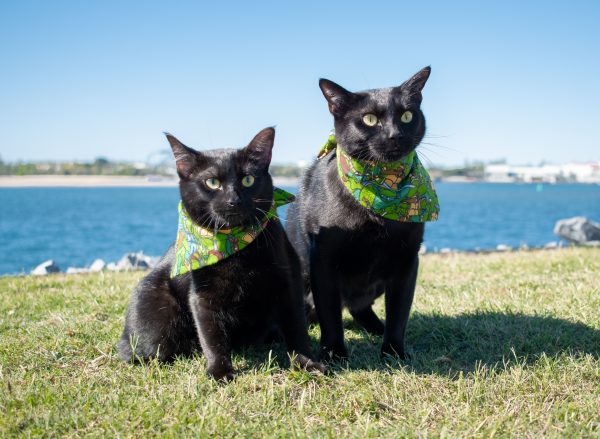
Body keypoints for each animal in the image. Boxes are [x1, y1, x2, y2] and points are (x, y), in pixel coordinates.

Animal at [118, 128, 324, 382]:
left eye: (248, 179)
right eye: (212, 182)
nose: (233, 200)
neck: (236, 247)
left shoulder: (289, 281)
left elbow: (296, 326)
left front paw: (306, 364)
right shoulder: (202, 297)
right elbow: (212, 335)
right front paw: (220, 371)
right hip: (155, 323)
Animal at [288, 66, 440, 360]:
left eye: (406, 115)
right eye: (370, 119)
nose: (395, 135)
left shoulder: (407, 260)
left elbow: (399, 313)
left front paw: (394, 352)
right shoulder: (323, 260)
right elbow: (330, 314)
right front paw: (334, 353)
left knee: (360, 308)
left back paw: (376, 328)